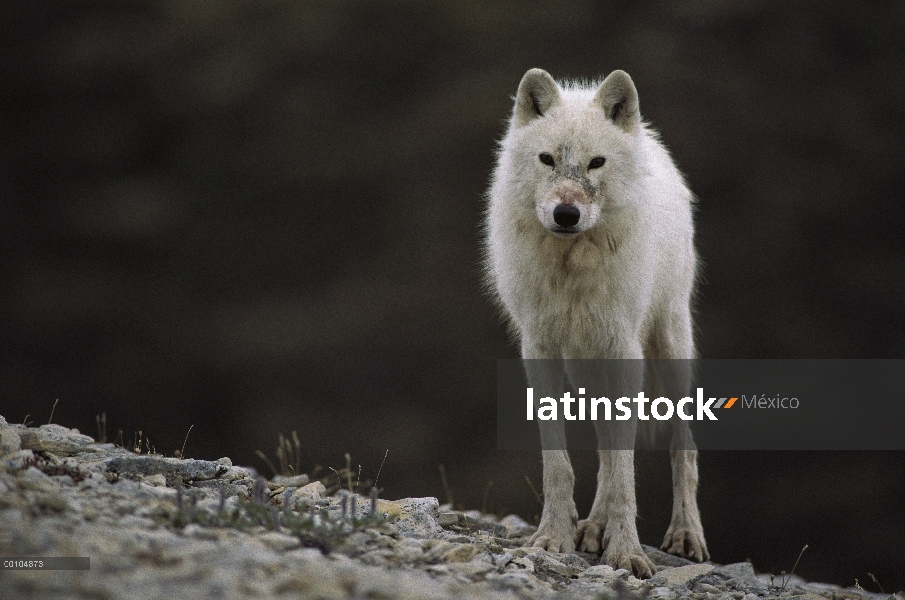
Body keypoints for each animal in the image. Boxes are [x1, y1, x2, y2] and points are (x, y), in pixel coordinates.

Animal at [484, 69, 708, 576]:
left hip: (668, 346)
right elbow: (560, 462)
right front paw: (553, 536)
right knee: (606, 445)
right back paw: (591, 527)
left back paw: (685, 534)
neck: (572, 264)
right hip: (587, 368)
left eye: (597, 163)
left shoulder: (623, 349)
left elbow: (626, 470)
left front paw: (625, 551)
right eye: (547, 159)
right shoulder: (540, 349)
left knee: (681, 445)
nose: (566, 214)